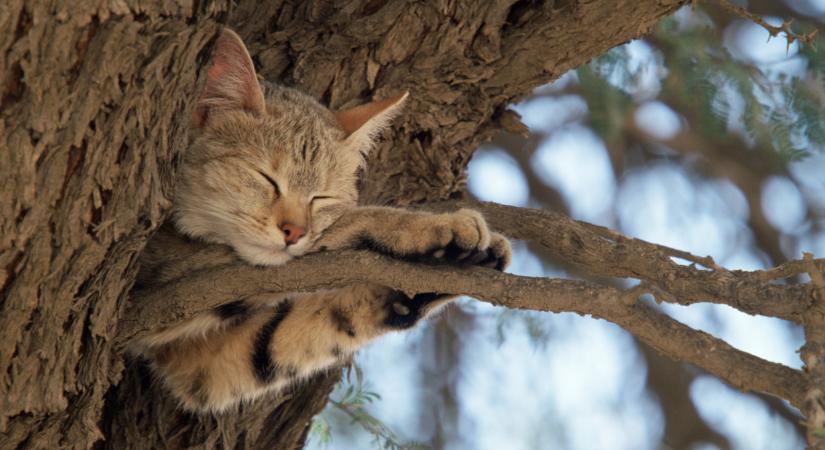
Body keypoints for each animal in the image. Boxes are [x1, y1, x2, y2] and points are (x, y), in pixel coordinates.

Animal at [130, 28, 512, 414]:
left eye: (321, 198)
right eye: (267, 179)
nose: (295, 232)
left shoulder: (199, 363)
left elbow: (298, 332)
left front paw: (426, 282)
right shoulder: (155, 281)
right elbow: (348, 224)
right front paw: (425, 228)